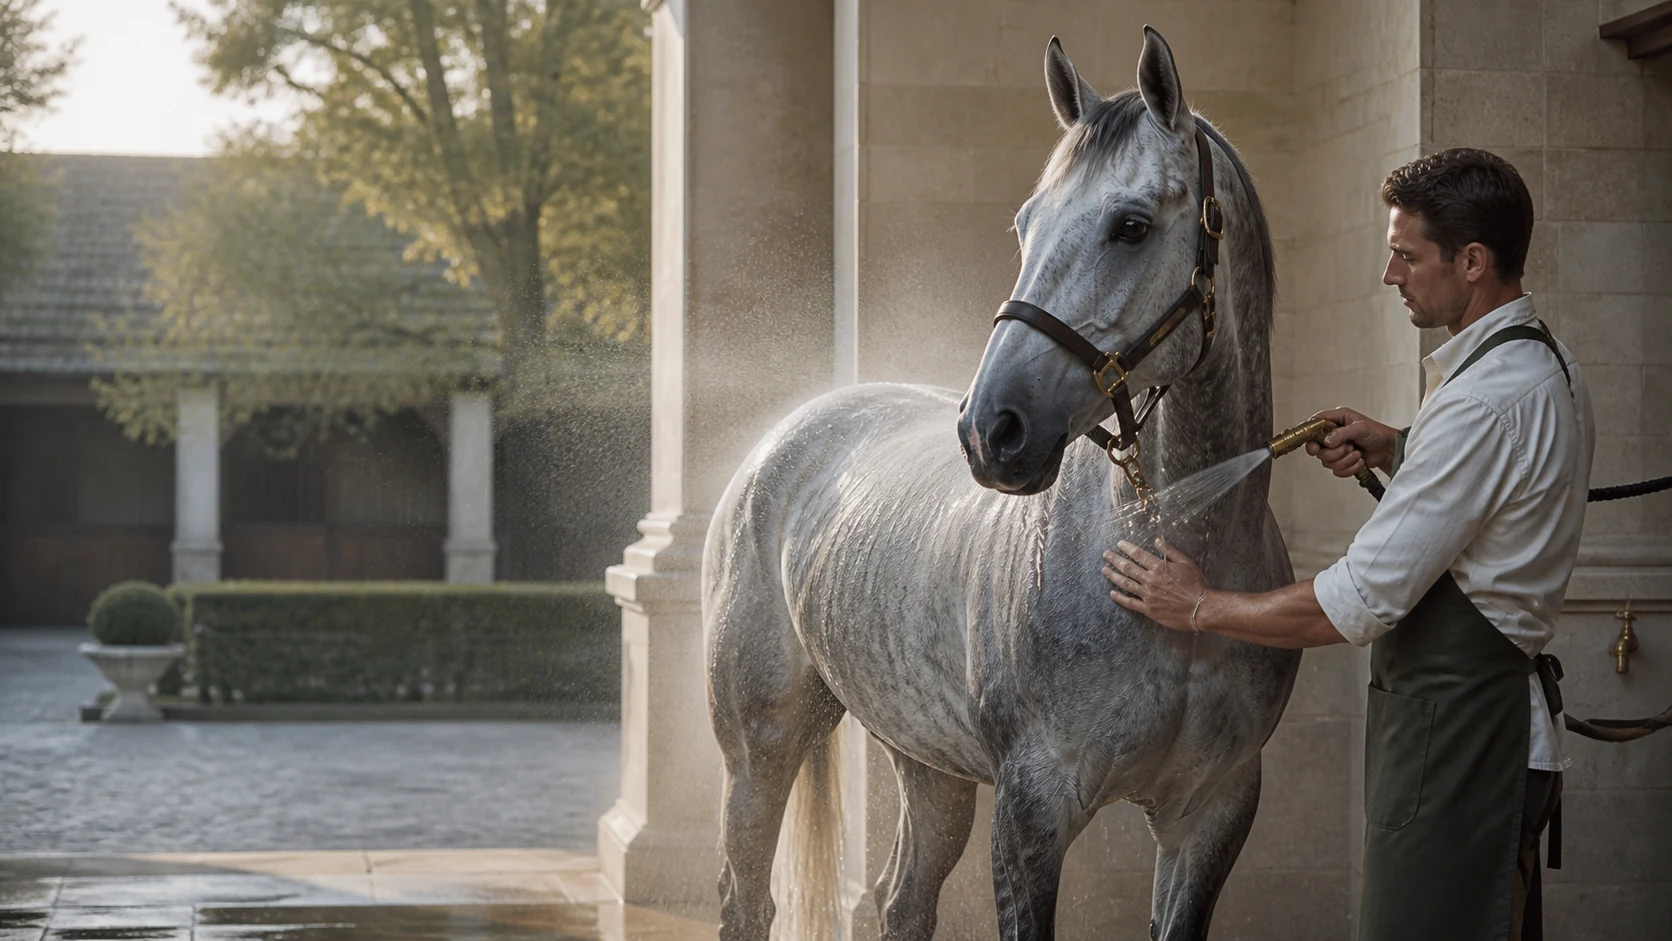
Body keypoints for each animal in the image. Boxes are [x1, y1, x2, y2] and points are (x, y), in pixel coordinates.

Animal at [704, 27, 1298, 941]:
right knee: (746, 892)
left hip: (926, 763)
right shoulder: (1031, 810)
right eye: (1025, 224)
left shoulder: (1213, 813)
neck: (1168, 549)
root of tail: (784, 436)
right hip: (760, 747)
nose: (991, 429)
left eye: (1131, 225)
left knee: (903, 896)